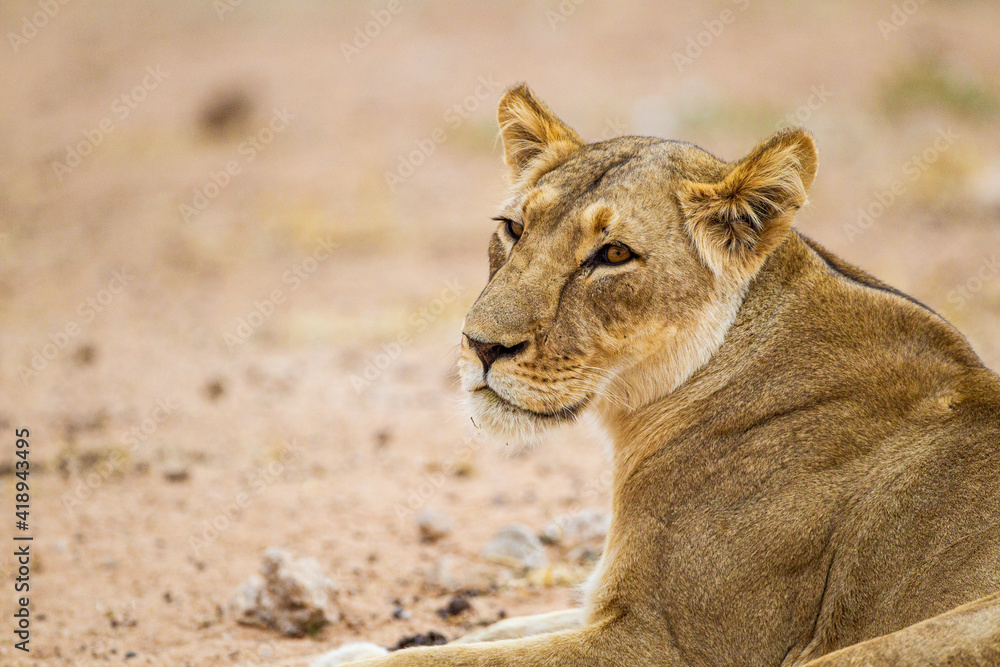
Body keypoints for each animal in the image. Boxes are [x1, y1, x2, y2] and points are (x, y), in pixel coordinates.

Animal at [316, 85, 1000, 666]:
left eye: (614, 254)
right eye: (513, 228)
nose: (480, 345)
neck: (641, 412)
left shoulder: (671, 642)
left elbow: (444, 658)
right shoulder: (604, 604)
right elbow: (490, 631)